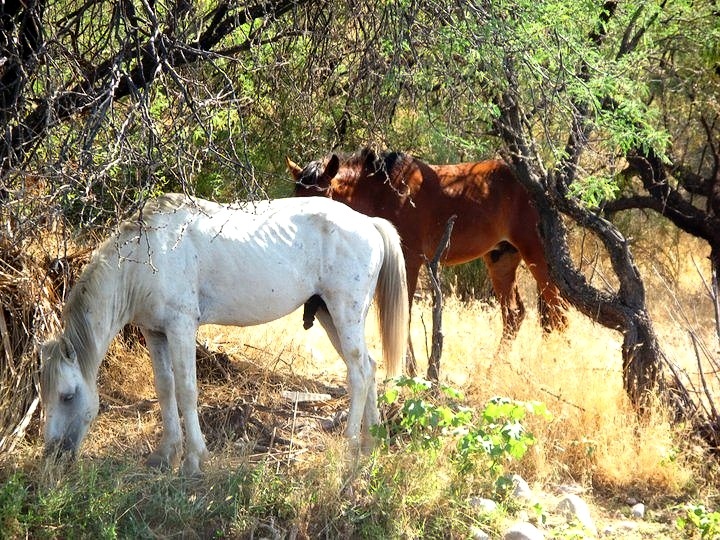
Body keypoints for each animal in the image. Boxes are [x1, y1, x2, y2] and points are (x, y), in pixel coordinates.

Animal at [40, 194, 408, 475]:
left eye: (67, 396)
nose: (52, 453)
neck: (147, 256)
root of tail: (368, 222)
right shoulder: (155, 332)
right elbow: (165, 389)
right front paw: (165, 454)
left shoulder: (181, 327)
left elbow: (187, 391)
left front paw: (194, 460)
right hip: (329, 315)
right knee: (370, 367)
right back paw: (371, 442)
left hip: (344, 313)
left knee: (358, 373)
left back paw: (350, 446)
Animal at [287, 148, 567, 344]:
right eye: (295, 196)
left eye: (322, 197)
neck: (383, 192)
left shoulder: (409, 262)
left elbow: (403, 316)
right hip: (502, 258)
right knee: (514, 316)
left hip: (537, 256)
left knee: (558, 315)